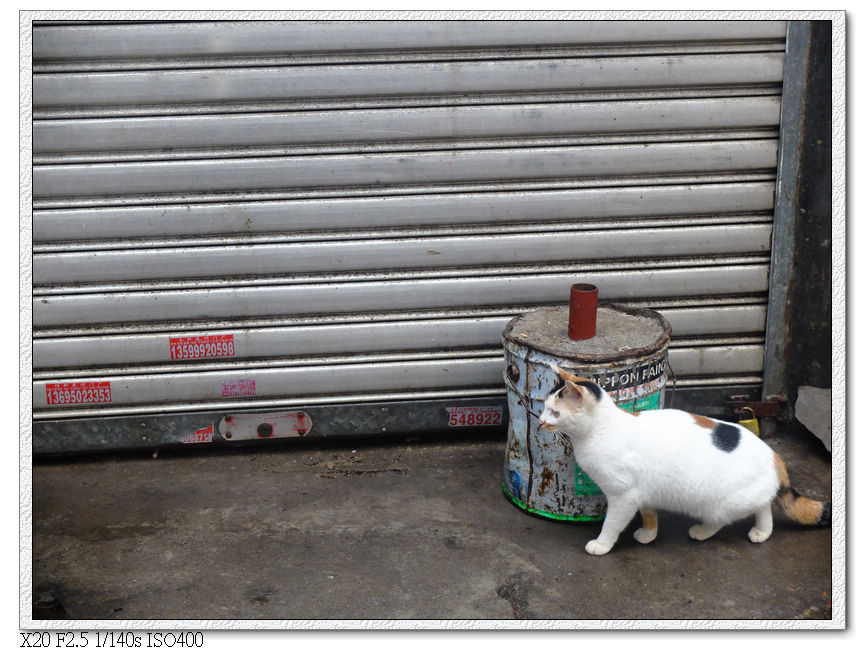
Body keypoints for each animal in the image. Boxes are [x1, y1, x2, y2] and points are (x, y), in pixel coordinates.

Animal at [540, 362, 832, 556]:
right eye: (543, 407)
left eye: (555, 413)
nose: (541, 421)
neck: (601, 429)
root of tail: (774, 455)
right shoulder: (644, 491)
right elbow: (649, 513)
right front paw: (648, 534)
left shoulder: (624, 496)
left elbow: (612, 524)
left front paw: (602, 544)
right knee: (764, 505)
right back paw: (762, 532)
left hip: (718, 501)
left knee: (729, 516)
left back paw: (702, 531)